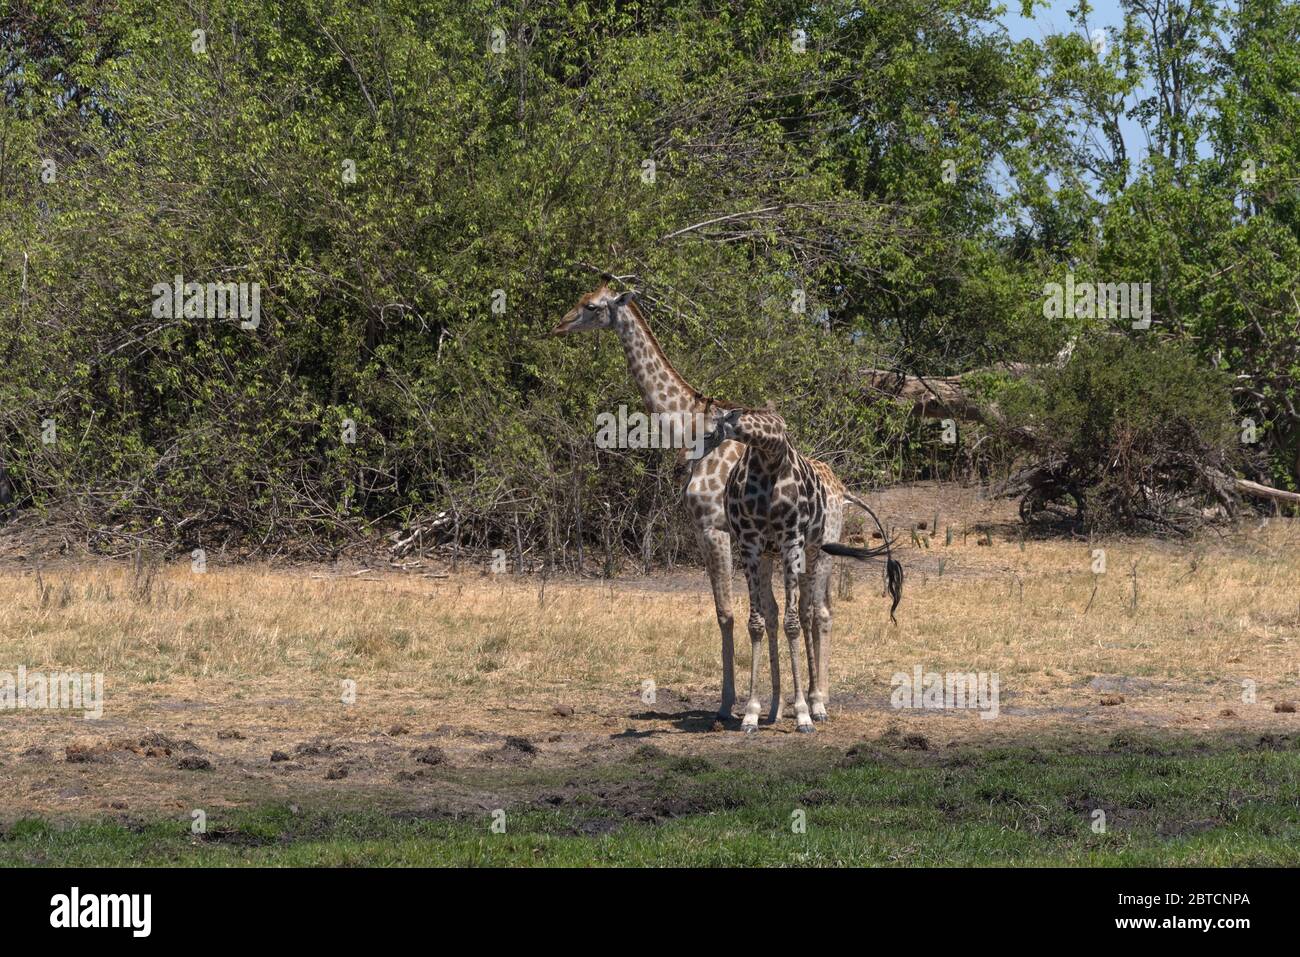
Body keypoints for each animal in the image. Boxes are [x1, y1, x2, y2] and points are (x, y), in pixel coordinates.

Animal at [702, 405, 904, 733]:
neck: (769, 458)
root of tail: (842, 488)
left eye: (709, 431)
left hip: (817, 551)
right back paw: (777, 708)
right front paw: (751, 714)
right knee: (785, 613)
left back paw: (817, 703)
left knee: (812, 614)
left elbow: (793, 624)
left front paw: (802, 714)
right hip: (775, 555)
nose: (688, 464)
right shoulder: (750, 545)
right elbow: (757, 623)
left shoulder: (792, 540)